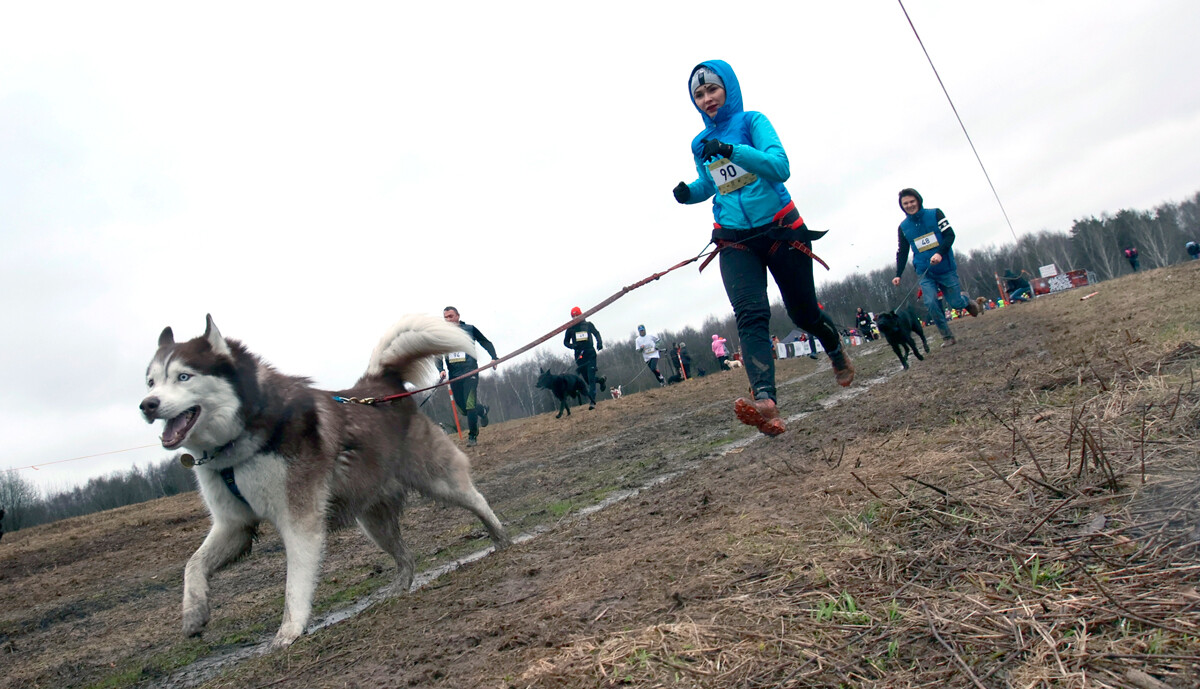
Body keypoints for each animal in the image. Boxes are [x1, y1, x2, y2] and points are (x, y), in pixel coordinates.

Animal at [139, 316, 511, 652]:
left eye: (184, 376)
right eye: (151, 382)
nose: (147, 405)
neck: (239, 443)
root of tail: (379, 386)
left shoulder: (299, 520)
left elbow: (294, 585)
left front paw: (289, 631)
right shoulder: (233, 525)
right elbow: (193, 565)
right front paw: (194, 613)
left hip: (438, 480)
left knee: (477, 501)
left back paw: (501, 537)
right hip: (373, 522)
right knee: (406, 556)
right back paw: (398, 587)